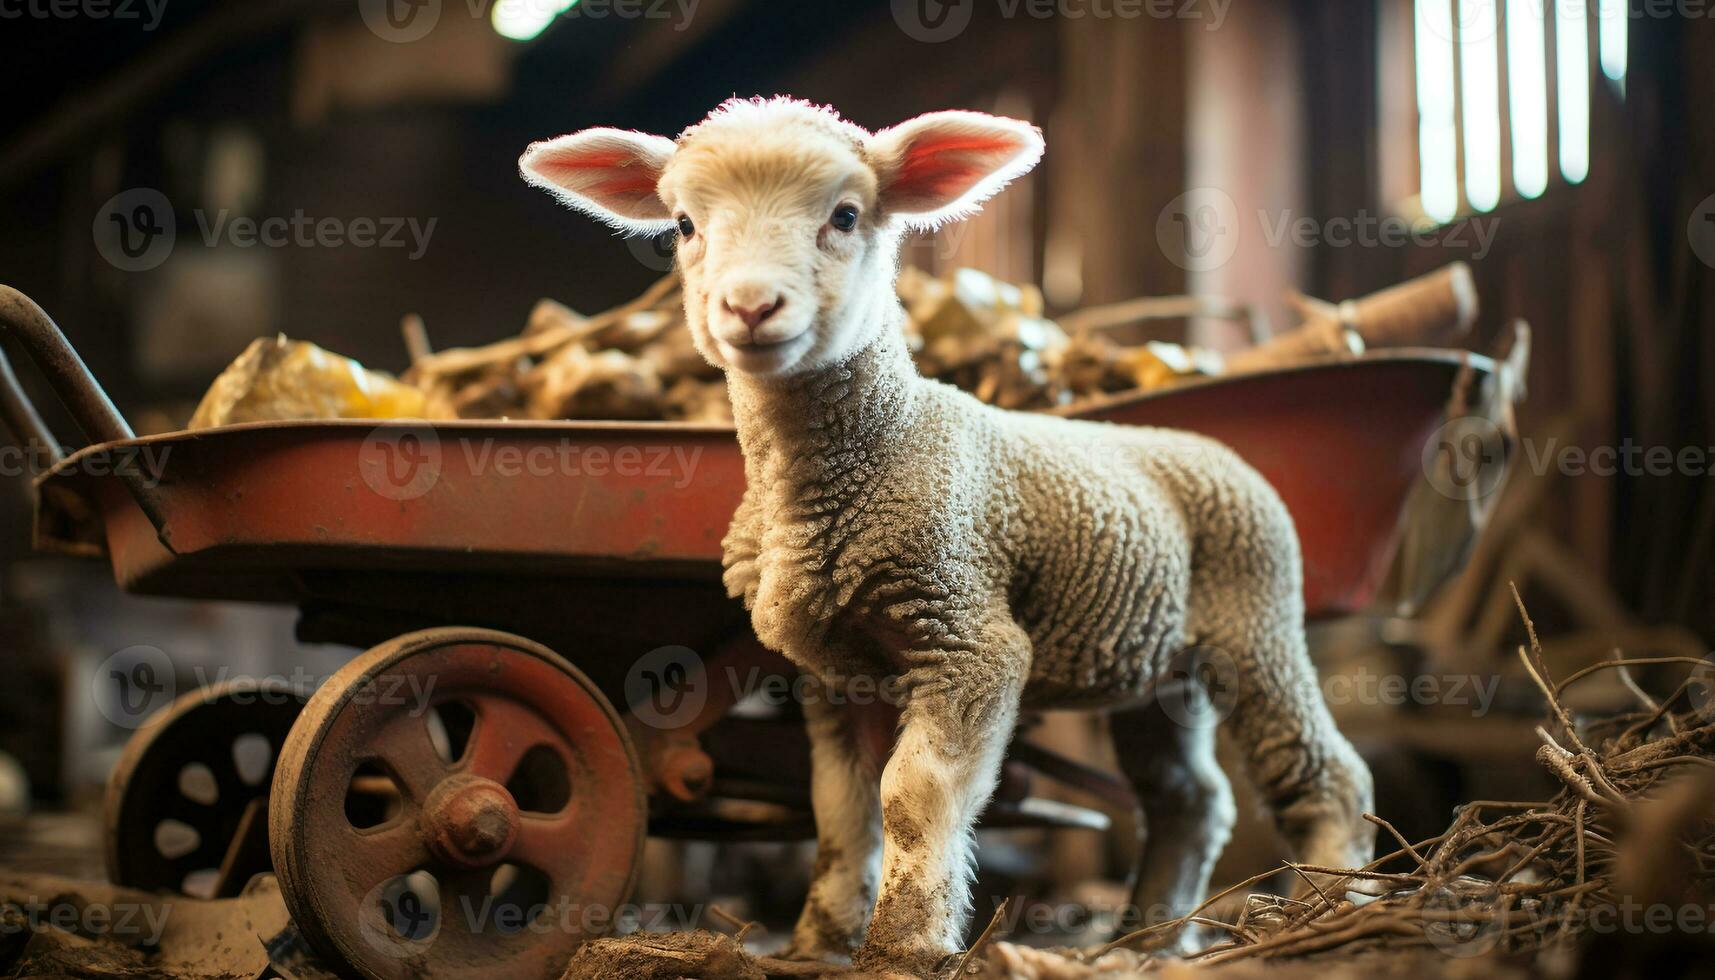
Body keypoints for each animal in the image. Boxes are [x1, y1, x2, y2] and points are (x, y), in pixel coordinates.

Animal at [514, 97, 1372, 974]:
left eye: (845, 215)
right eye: (684, 224)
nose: (749, 308)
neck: (876, 447)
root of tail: (1209, 450)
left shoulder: (967, 634)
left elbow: (911, 795)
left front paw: (904, 942)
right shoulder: (836, 674)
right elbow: (839, 807)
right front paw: (820, 939)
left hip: (1255, 622)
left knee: (1325, 772)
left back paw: (1323, 908)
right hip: (1158, 669)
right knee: (1187, 799)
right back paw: (1144, 937)